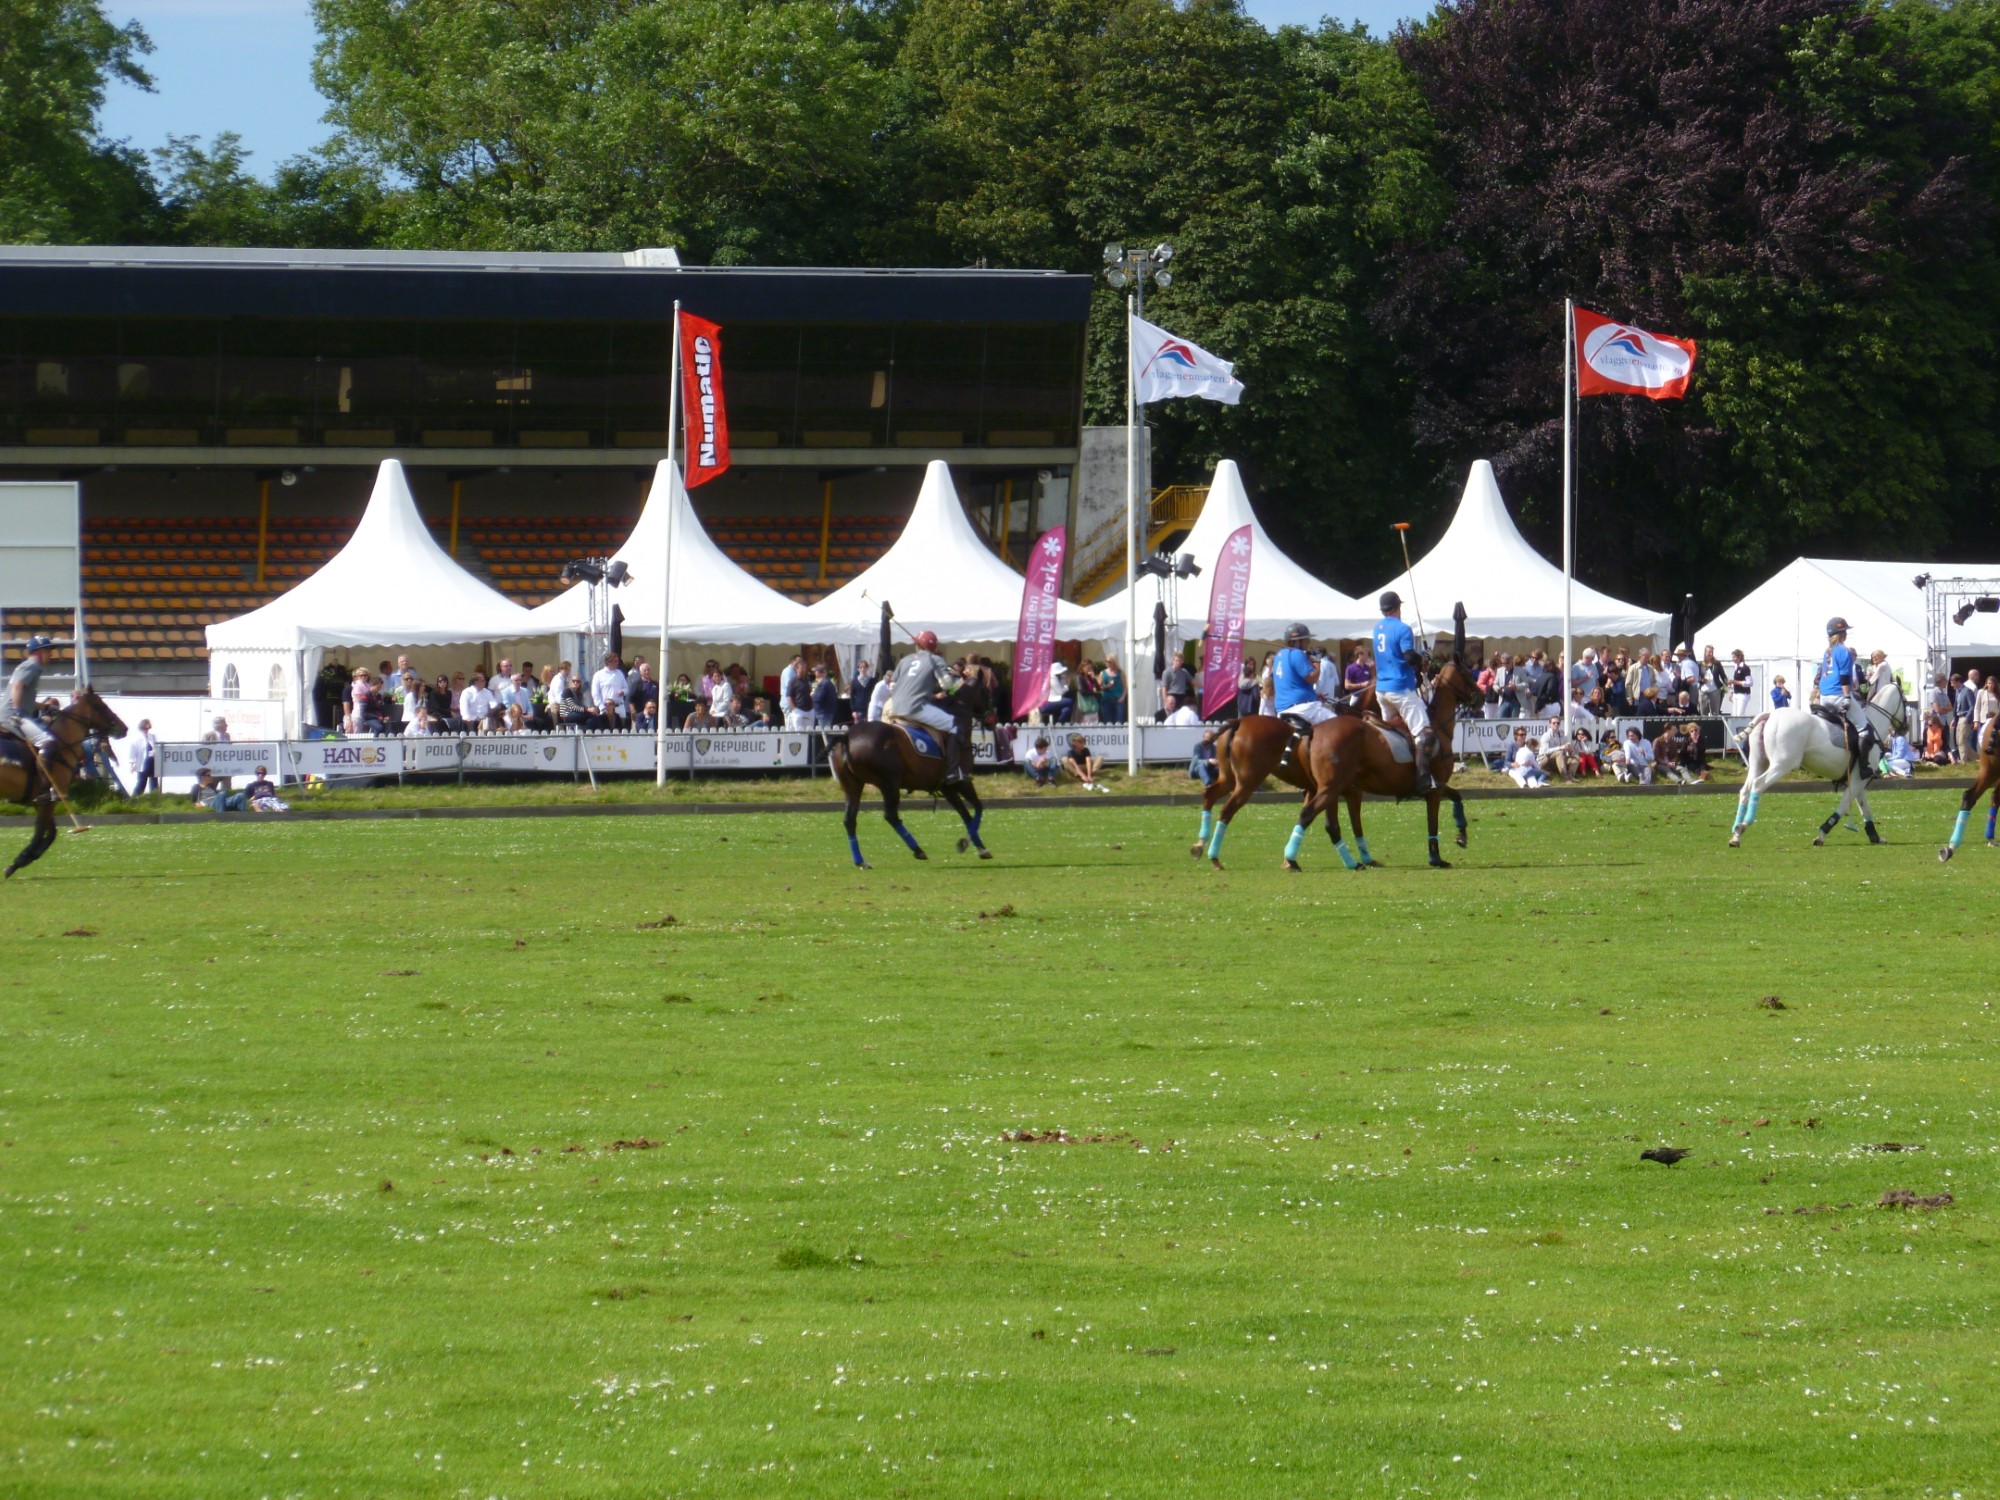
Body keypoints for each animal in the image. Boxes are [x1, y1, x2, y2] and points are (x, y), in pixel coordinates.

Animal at [0, 692, 127, 880]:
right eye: (102, 706)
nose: (124, 728)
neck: (63, 744)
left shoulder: (44, 800)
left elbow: (51, 833)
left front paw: (26, 858)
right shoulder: (48, 801)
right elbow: (40, 834)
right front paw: (16, 863)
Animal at [824, 672, 988, 868]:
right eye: (987, 690)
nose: (991, 715)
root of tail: (847, 736)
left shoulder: (947, 788)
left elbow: (966, 815)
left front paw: (977, 846)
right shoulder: (961, 782)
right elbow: (977, 809)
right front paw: (972, 845)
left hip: (853, 786)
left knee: (849, 820)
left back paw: (861, 861)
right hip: (889, 783)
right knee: (891, 816)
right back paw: (918, 850)